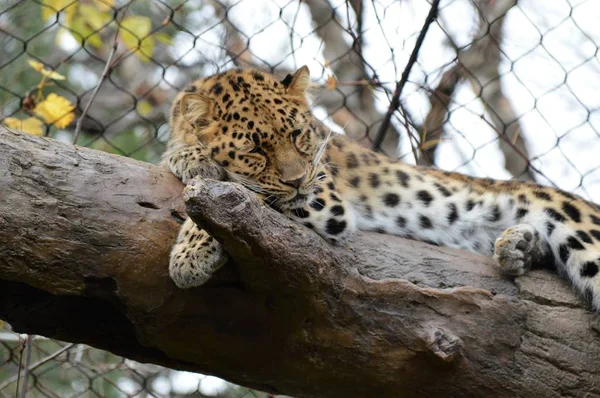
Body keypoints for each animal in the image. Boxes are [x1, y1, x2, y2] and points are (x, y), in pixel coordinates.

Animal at [163, 65, 600, 310]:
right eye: (254, 148)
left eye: (298, 135)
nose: (298, 178)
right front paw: (187, 156)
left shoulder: (325, 198)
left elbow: (251, 195)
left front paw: (189, 252)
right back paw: (519, 246)